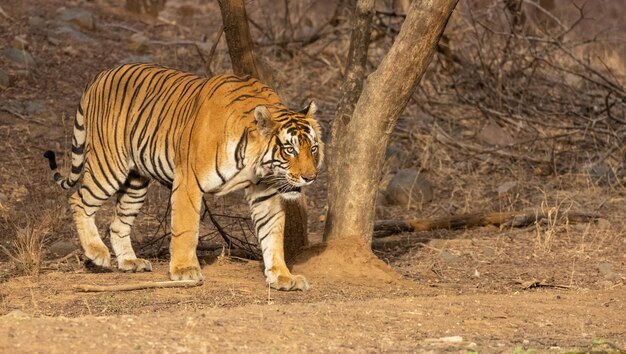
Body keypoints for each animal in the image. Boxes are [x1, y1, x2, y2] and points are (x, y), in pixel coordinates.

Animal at [42, 63, 322, 290]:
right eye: (289, 150)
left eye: (313, 149)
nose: (310, 178)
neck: (255, 164)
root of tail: (100, 75)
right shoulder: (189, 181)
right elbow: (185, 228)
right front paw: (185, 270)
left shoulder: (265, 191)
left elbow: (273, 233)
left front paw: (282, 277)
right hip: (109, 166)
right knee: (78, 199)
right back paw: (97, 252)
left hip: (136, 182)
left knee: (118, 223)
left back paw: (130, 261)